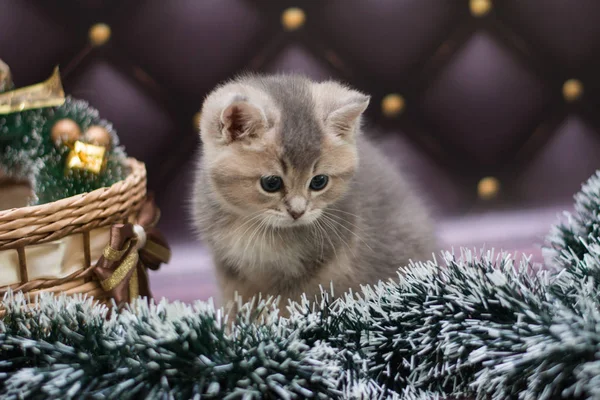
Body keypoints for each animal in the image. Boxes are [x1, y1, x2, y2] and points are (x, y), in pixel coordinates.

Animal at [192, 74, 436, 312]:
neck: (255, 226)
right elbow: (236, 305)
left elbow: (286, 307)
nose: (297, 212)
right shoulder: (229, 271)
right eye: (271, 183)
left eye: (319, 182)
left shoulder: (313, 273)